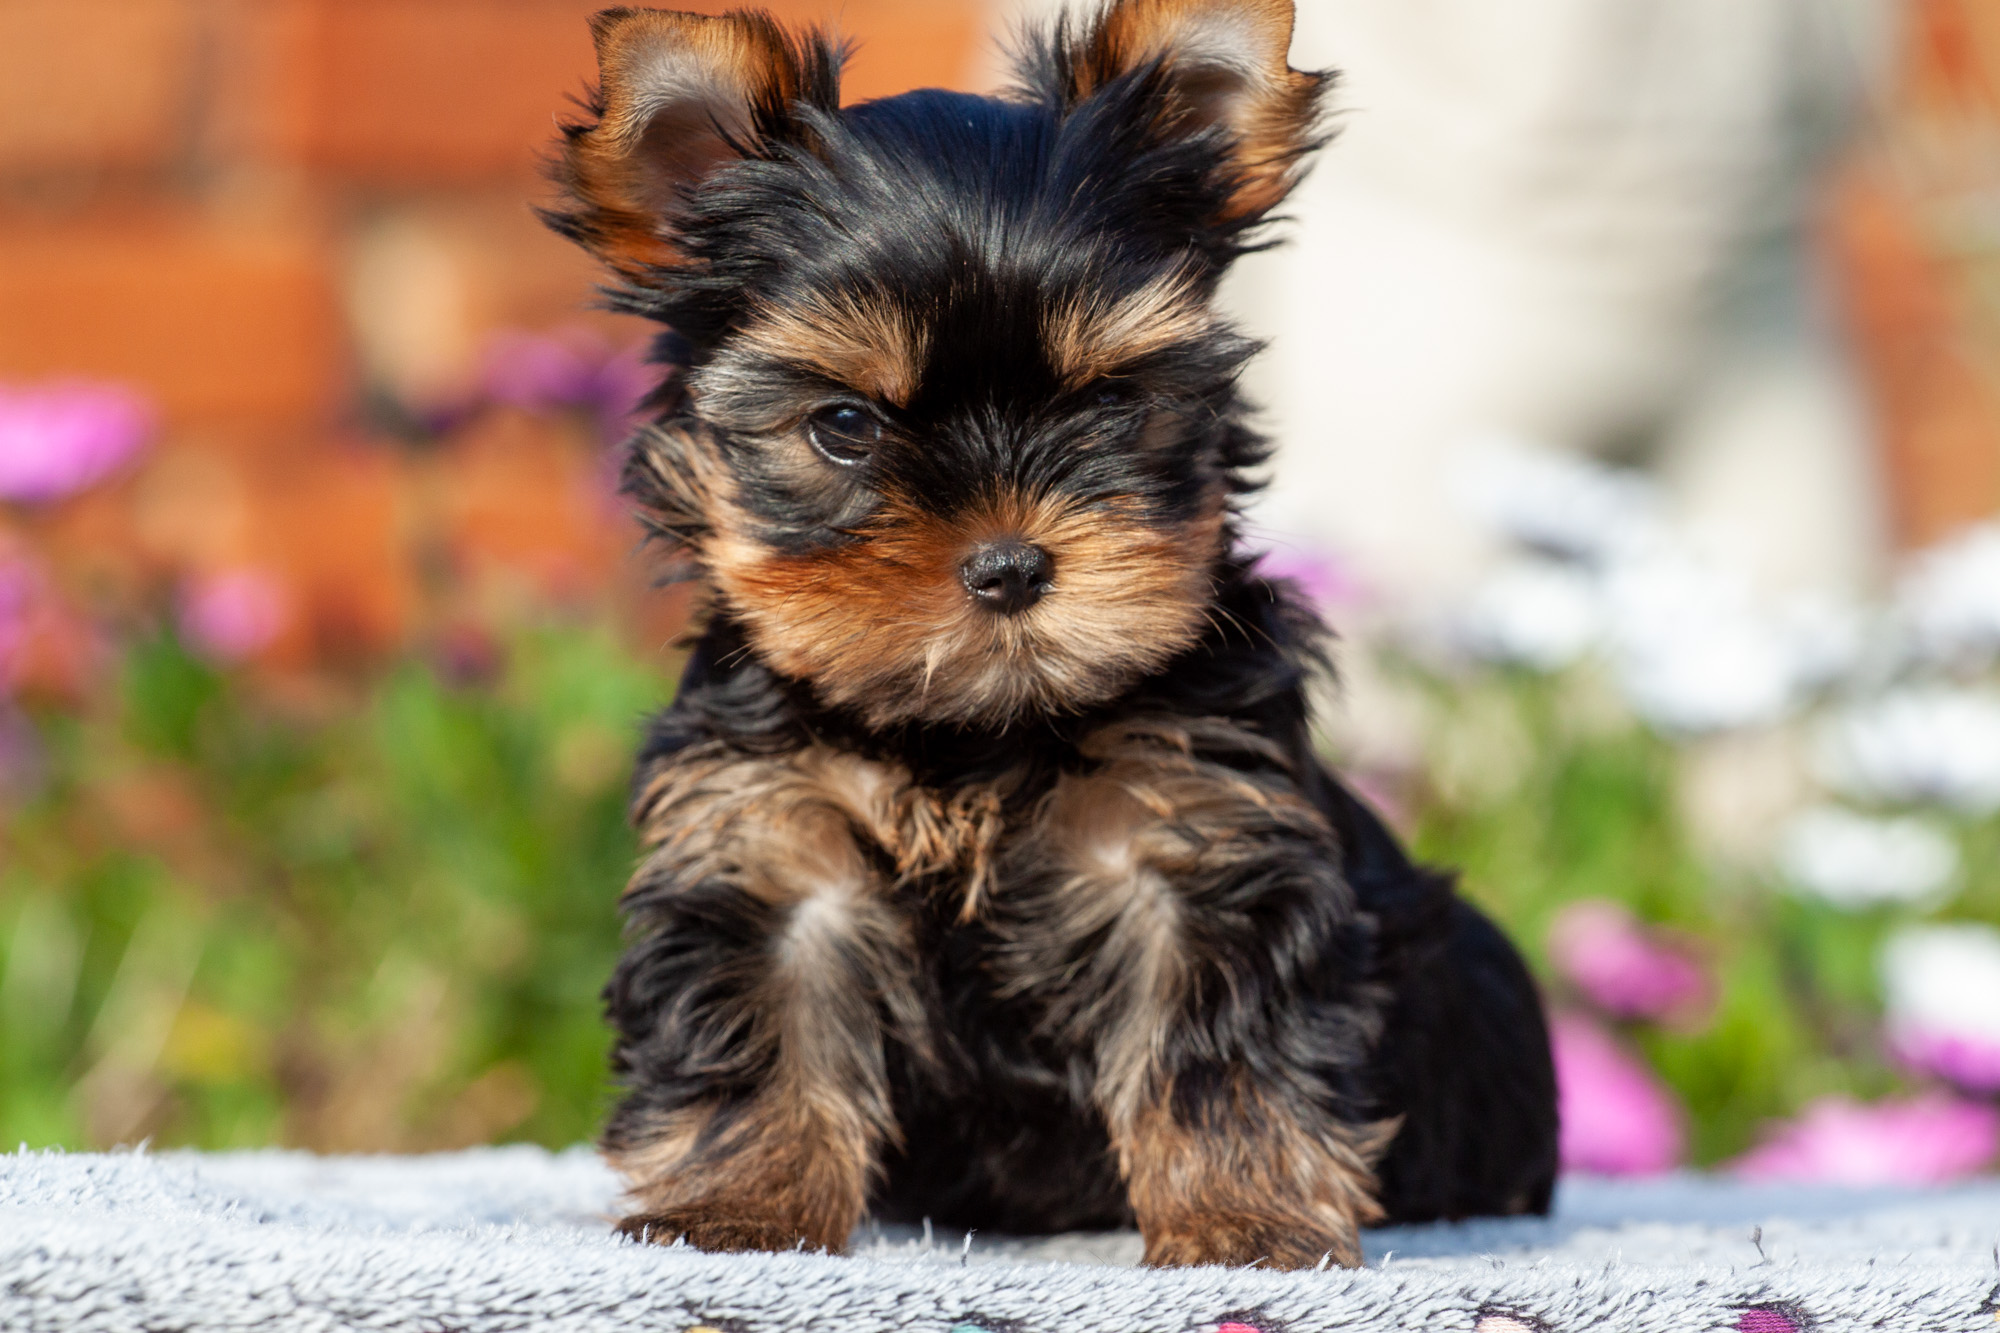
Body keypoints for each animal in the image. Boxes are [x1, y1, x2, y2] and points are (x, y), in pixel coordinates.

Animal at [548, 0, 1560, 1264]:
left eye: (1111, 404)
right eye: (843, 426)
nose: (1009, 563)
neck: (970, 732)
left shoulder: (1198, 848)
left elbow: (1220, 1051)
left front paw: (1242, 1220)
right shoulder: (764, 843)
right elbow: (757, 1024)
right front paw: (737, 1208)